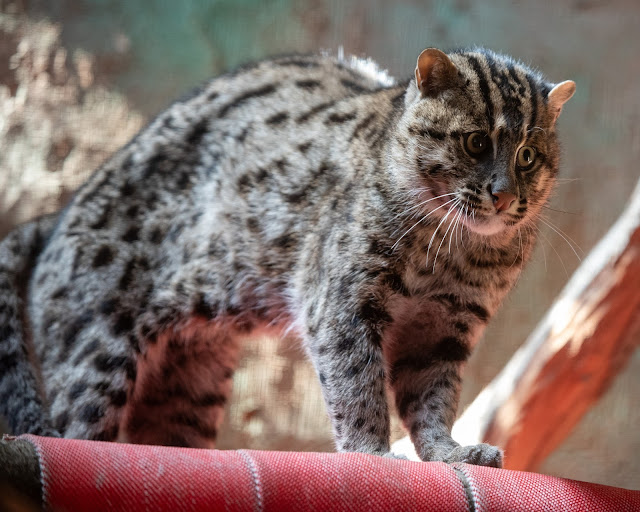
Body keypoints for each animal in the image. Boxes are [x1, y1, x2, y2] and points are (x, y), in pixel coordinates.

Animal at [0, 47, 574, 467]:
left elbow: (434, 400)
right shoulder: (341, 304)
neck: (454, 253)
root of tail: (56, 215)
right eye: (476, 142)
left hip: (188, 386)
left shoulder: (446, 329)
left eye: (528, 156)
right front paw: (373, 455)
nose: (504, 196)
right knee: (74, 431)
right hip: (97, 353)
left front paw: (449, 453)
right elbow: (358, 389)